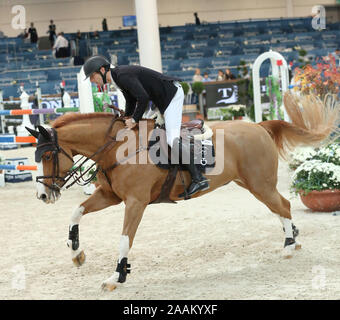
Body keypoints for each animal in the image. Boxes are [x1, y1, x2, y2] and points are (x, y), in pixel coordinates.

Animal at [27, 92, 340, 290]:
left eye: (47, 155)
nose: (42, 195)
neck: (117, 147)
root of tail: (259, 127)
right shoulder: (110, 196)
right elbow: (76, 211)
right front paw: (76, 253)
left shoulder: (136, 202)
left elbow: (125, 239)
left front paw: (117, 277)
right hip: (252, 184)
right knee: (279, 207)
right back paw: (293, 237)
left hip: (259, 184)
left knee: (283, 206)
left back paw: (288, 247)